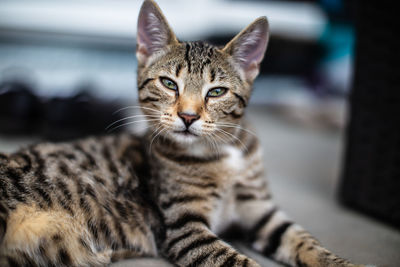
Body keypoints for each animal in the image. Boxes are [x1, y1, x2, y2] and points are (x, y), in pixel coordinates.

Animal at [0, 0, 368, 266]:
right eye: (168, 83)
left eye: (216, 92)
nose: (188, 116)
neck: (222, 153)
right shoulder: (183, 228)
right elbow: (238, 262)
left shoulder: (262, 212)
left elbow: (306, 241)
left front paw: (343, 263)